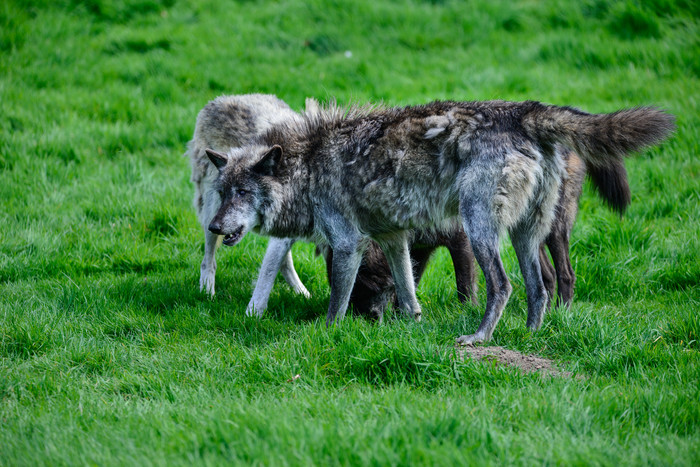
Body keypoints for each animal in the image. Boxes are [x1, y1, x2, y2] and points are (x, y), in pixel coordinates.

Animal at [204, 99, 672, 344]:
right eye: (223, 191)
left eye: (243, 192)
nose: (214, 228)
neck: (309, 165)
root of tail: (526, 109)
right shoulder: (394, 240)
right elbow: (409, 294)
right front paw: (412, 325)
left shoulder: (349, 243)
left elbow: (336, 302)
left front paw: (327, 334)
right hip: (526, 234)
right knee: (540, 287)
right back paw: (530, 335)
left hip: (481, 230)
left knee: (504, 285)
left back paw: (479, 338)